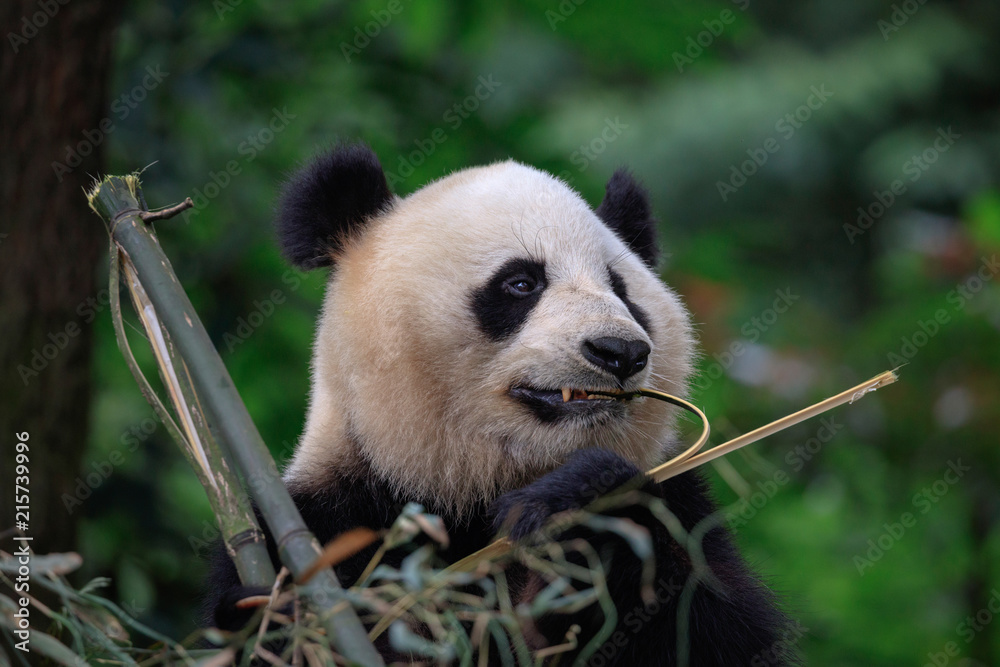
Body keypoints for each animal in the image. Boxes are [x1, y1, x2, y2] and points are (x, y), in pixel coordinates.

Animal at [205, 143, 795, 665]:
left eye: (622, 291)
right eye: (521, 282)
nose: (620, 351)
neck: (474, 487)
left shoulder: (681, 500)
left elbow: (713, 628)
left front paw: (580, 500)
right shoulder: (330, 520)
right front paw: (270, 621)